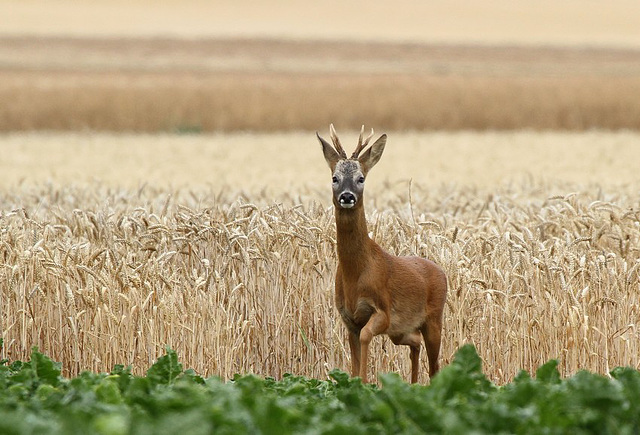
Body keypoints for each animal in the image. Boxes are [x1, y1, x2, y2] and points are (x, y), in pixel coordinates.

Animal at [318, 124, 448, 384]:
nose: (347, 196)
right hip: (401, 330)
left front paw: (365, 382)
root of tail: (441, 271)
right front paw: (354, 382)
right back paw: (412, 384)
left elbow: (367, 336)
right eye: (334, 178)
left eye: (361, 178)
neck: (356, 274)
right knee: (415, 343)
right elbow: (354, 356)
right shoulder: (349, 319)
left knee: (435, 366)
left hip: (434, 319)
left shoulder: (382, 310)